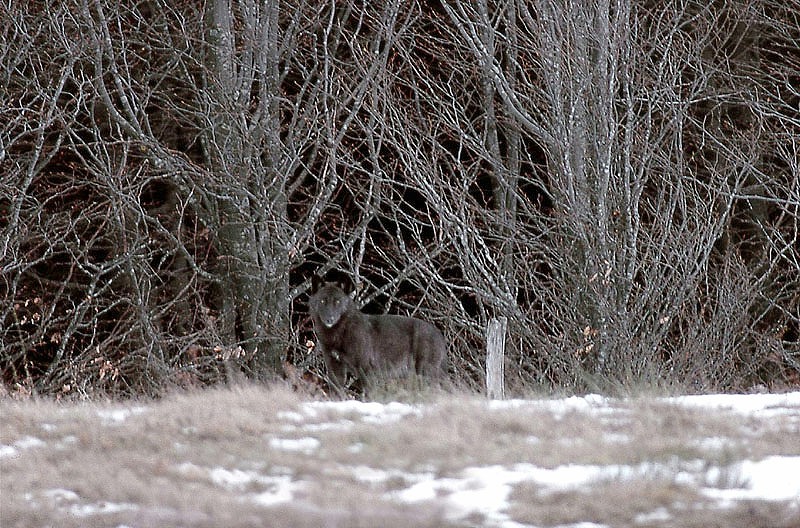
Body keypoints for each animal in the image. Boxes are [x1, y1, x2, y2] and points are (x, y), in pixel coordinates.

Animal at [310, 276, 446, 392]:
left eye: (338, 301)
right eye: (322, 301)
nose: (329, 319)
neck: (340, 334)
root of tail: (439, 334)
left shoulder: (367, 369)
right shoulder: (334, 367)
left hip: (425, 372)